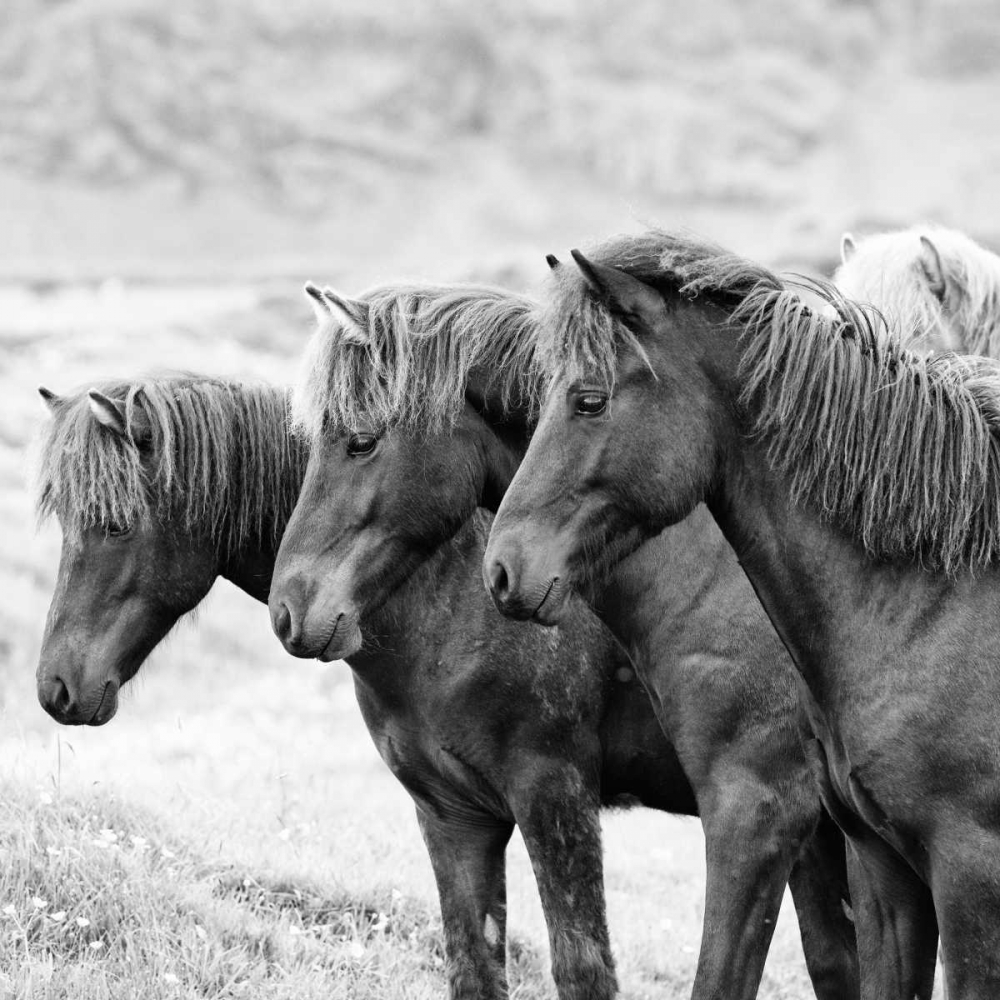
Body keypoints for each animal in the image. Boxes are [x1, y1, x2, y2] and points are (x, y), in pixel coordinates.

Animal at [36, 372, 703, 1000]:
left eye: (116, 526)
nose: (55, 688)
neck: (448, 590)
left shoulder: (554, 796)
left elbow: (583, 970)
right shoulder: (452, 813)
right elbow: (473, 966)